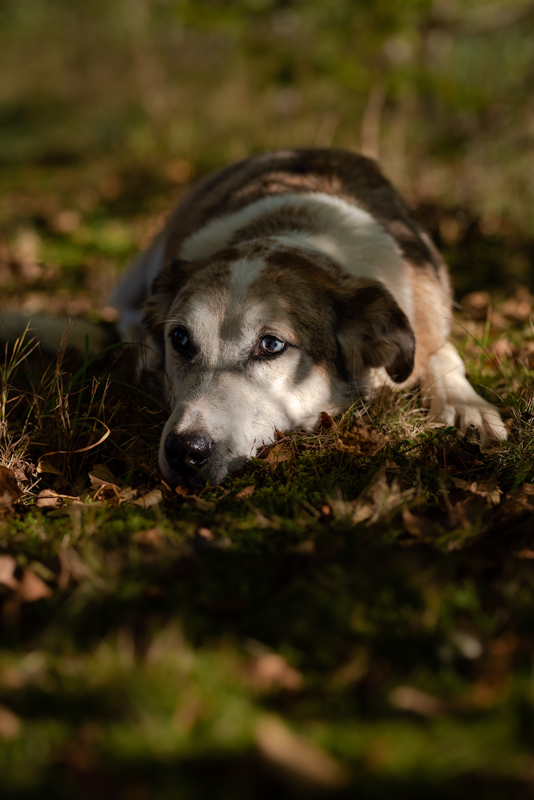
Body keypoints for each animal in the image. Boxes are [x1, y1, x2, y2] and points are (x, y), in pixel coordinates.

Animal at [3, 149, 506, 488]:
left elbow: (444, 356)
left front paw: (469, 410)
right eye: (180, 339)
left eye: (272, 346)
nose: (185, 452)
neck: (301, 233)